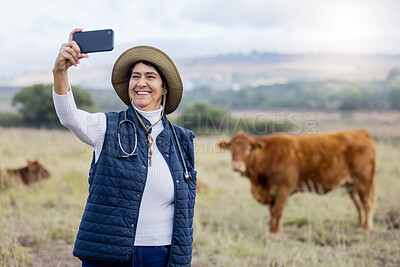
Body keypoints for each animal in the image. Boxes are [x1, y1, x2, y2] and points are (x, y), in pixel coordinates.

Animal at [217, 130, 376, 237]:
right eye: (231, 149)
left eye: (248, 149)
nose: (237, 166)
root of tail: (361, 132)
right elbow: (272, 211)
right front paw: (272, 230)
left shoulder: (283, 188)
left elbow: (277, 210)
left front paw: (275, 233)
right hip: (351, 185)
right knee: (359, 206)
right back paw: (361, 227)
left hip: (364, 182)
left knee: (367, 204)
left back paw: (367, 229)